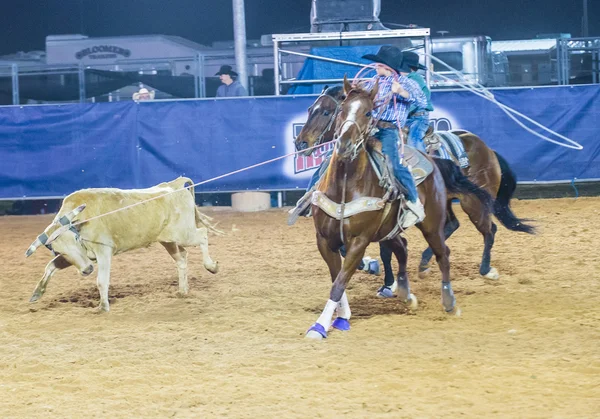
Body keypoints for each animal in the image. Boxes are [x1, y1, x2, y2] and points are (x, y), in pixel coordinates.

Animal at [296, 85, 536, 288]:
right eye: (310, 109)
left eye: (326, 112)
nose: (301, 143)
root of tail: (488, 149)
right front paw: (378, 272)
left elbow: (382, 249)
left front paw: (387, 281)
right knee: (452, 224)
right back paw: (424, 263)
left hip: (473, 202)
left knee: (489, 229)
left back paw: (486, 269)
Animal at [304, 79, 492, 342]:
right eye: (341, 110)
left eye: (368, 113)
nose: (301, 142)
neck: (344, 185)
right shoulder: (324, 239)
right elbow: (336, 277)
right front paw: (343, 315)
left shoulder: (359, 241)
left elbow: (340, 281)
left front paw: (320, 326)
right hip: (389, 229)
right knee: (403, 248)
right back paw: (406, 292)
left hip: (436, 222)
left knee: (445, 252)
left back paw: (450, 300)